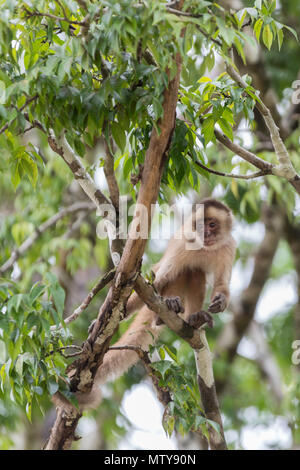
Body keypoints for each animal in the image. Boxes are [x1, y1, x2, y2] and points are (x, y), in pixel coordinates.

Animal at [78, 200, 237, 410]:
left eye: (212, 224)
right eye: (201, 224)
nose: (206, 234)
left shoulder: (229, 246)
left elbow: (221, 283)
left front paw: (221, 301)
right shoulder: (183, 243)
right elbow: (160, 279)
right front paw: (103, 319)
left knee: (196, 272)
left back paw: (194, 320)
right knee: (182, 271)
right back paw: (167, 309)